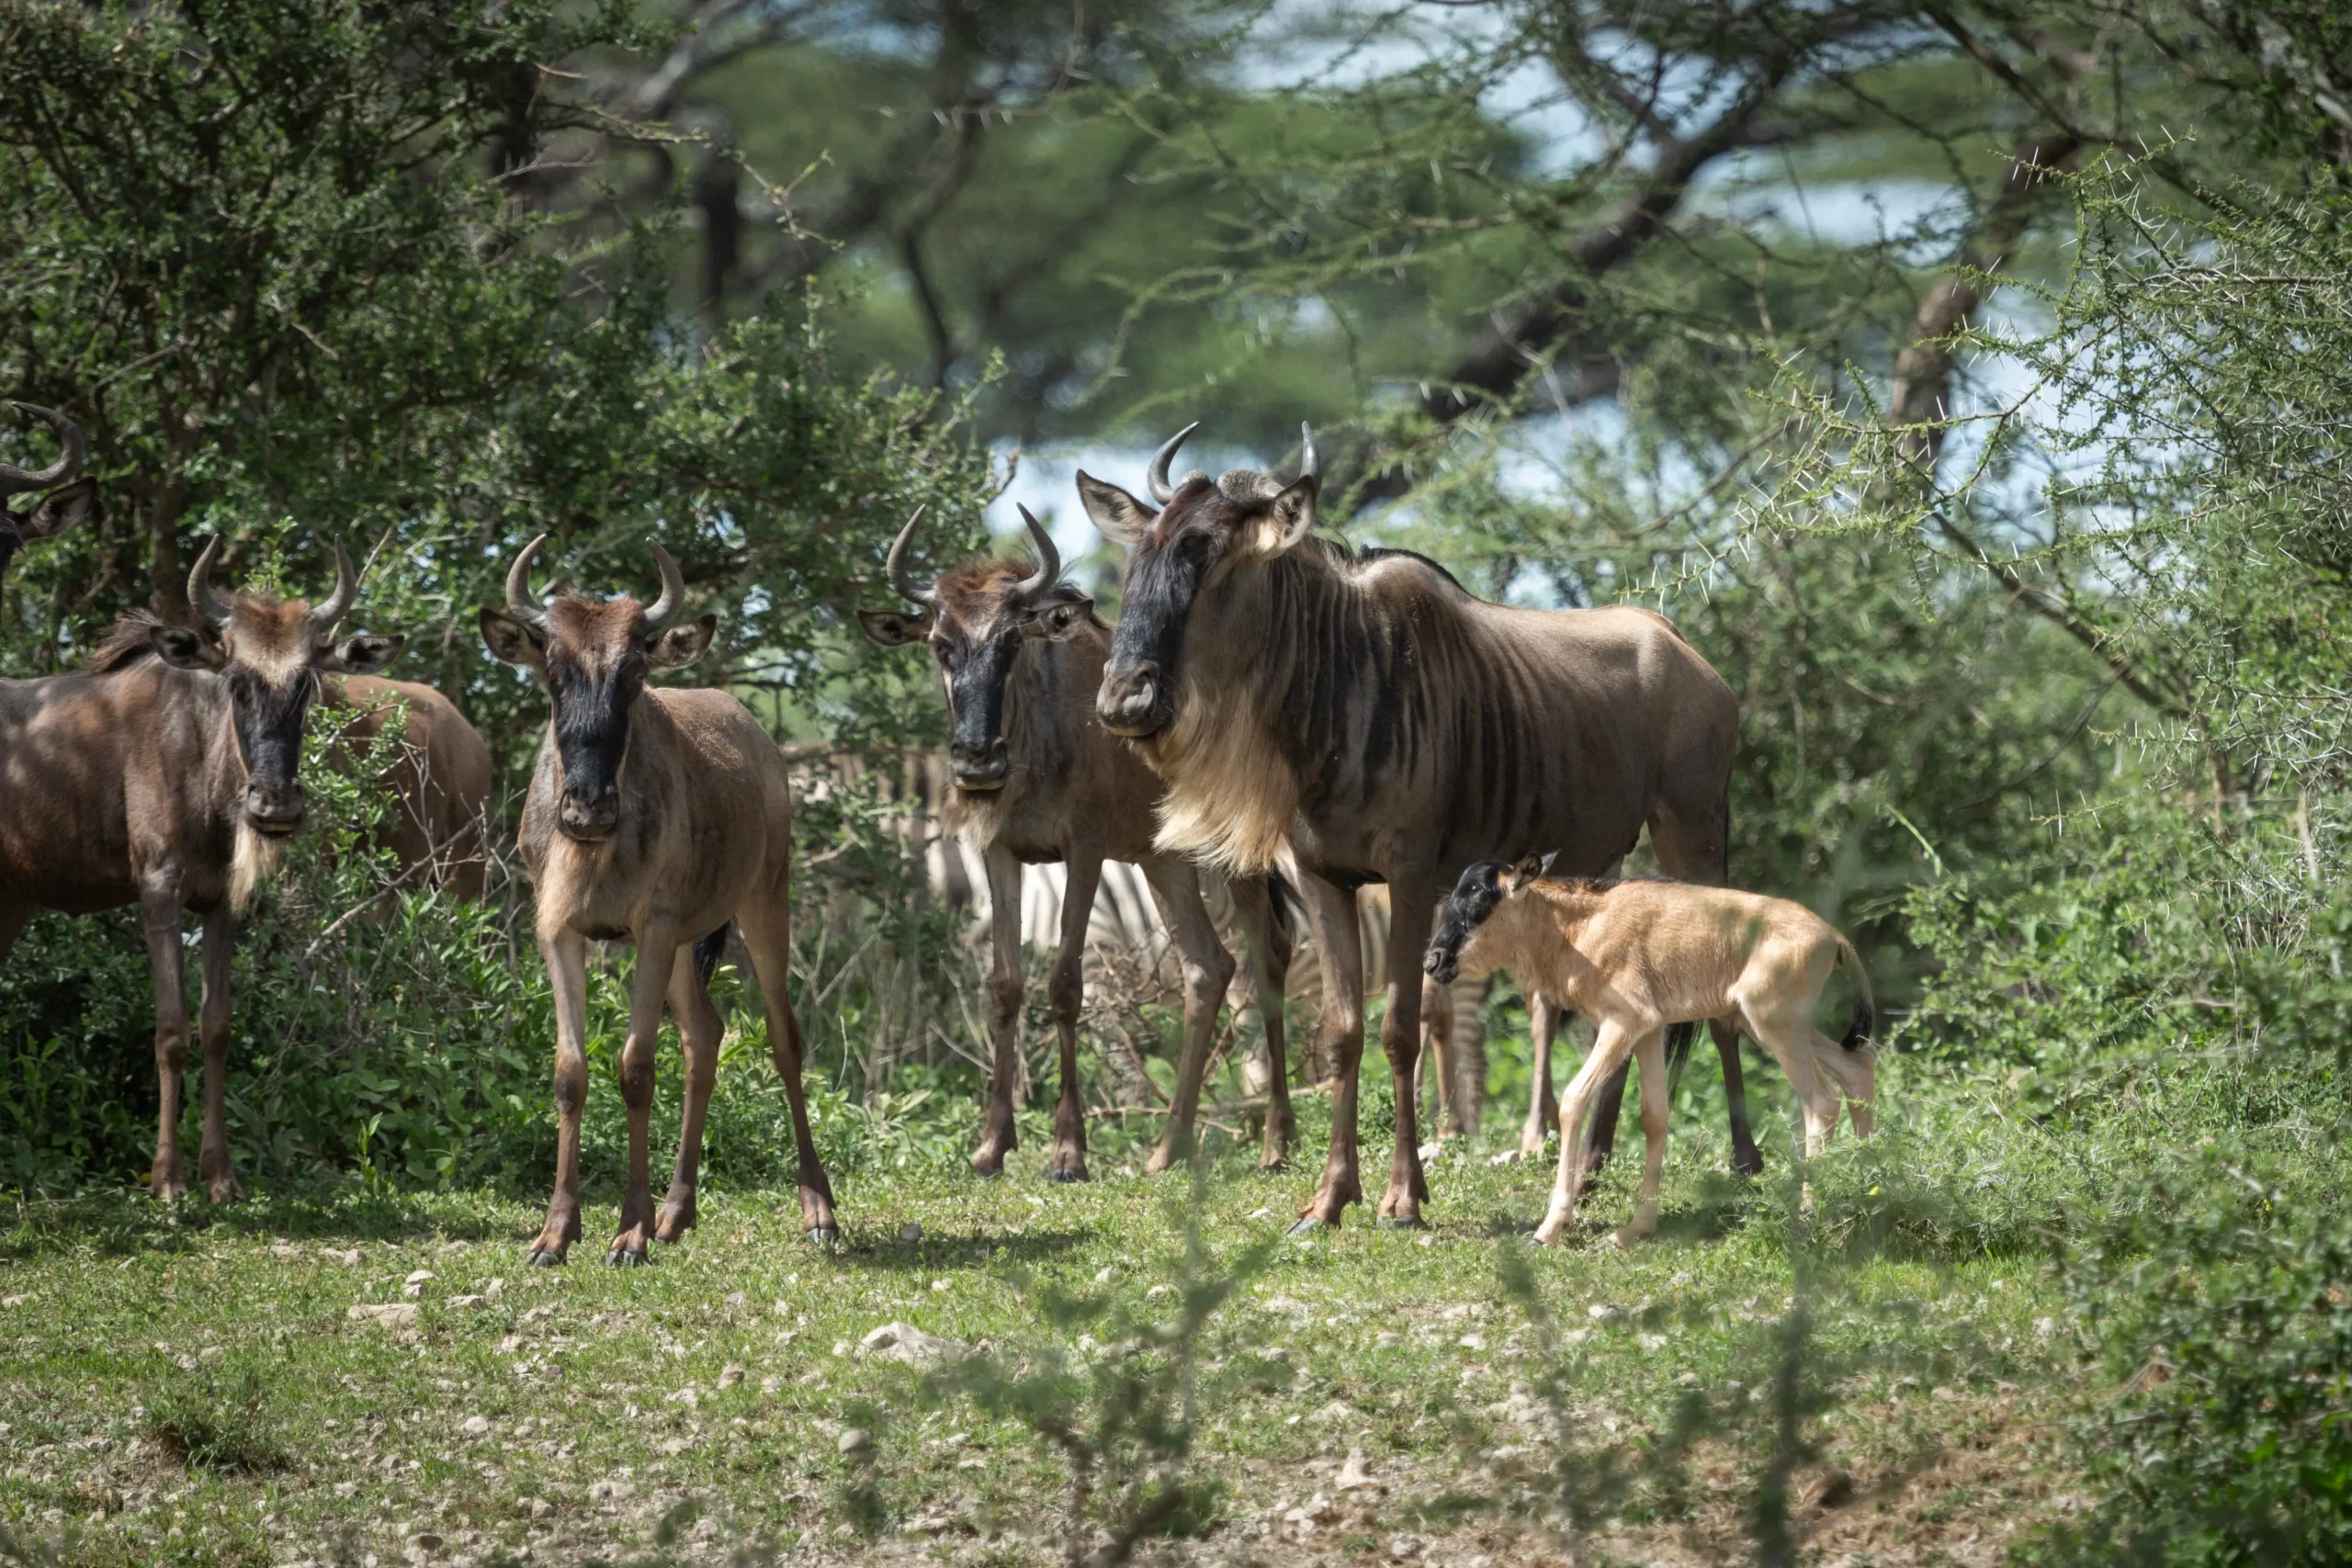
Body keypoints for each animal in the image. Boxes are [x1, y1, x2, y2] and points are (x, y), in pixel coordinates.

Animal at [0, 538, 405, 1201]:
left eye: (307, 683)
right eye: (236, 682)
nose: (276, 805)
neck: (200, 758)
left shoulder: (220, 903)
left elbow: (216, 1027)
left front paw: (220, 1175)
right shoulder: (157, 890)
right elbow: (171, 1030)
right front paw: (167, 1178)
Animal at [480, 537, 837, 1263]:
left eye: (635, 670)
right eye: (552, 669)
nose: (588, 807)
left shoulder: (652, 929)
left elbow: (637, 1068)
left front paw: (629, 1233)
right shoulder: (559, 932)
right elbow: (570, 1072)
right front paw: (555, 1234)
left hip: (763, 901)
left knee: (783, 1036)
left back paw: (818, 1212)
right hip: (685, 944)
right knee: (705, 1033)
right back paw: (677, 1213)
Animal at [858, 503, 1295, 1179]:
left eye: (1013, 640)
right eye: (940, 644)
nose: (977, 763)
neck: (1037, 735)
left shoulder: (1083, 850)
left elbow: (1064, 984)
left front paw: (1069, 1151)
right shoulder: (1000, 853)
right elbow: (1005, 985)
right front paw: (991, 1146)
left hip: (1235, 859)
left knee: (1268, 954)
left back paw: (1276, 1141)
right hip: (1164, 862)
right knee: (1207, 967)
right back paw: (1169, 1148)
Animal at [1080, 424, 1753, 1230]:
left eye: (1210, 559)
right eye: (1140, 556)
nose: (1123, 698)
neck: (1336, 684)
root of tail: (1683, 645)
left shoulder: (1409, 876)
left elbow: (1401, 1026)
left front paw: (1403, 1194)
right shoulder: (1325, 879)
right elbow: (1345, 1032)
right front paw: (1331, 1196)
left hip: (1694, 833)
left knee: (1720, 998)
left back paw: (1746, 1162)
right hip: (1612, 856)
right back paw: (1591, 1166)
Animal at [1425, 859, 1874, 1245]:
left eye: (1479, 902)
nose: (1433, 961)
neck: (1580, 924)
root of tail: (1834, 938)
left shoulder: (1622, 1023)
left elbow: (1574, 1100)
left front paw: (1550, 1227)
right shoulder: (1650, 1031)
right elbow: (1654, 1115)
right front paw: (1633, 1230)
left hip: (1773, 1025)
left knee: (1822, 1101)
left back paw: (1810, 1214)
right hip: (1770, 1025)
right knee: (1855, 1068)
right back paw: (1868, 1190)